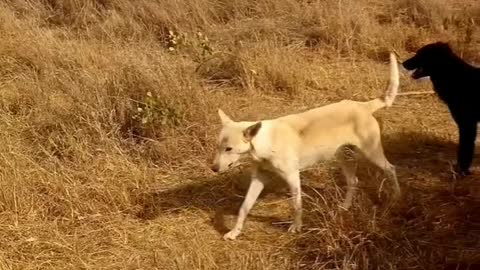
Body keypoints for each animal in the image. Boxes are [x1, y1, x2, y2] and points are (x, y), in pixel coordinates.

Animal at [212, 53, 400, 240]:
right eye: (218, 147)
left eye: (228, 149)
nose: (213, 168)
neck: (264, 142)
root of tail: (362, 105)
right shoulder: (259, 179)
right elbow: (244, 207)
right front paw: (235, 232)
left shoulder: (293, 177)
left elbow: (296, 206)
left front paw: (296, 227)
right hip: (344, 157)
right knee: (353, 181)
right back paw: (345, 207)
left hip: (372, 153)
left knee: (391, 169)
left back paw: (397, 197)